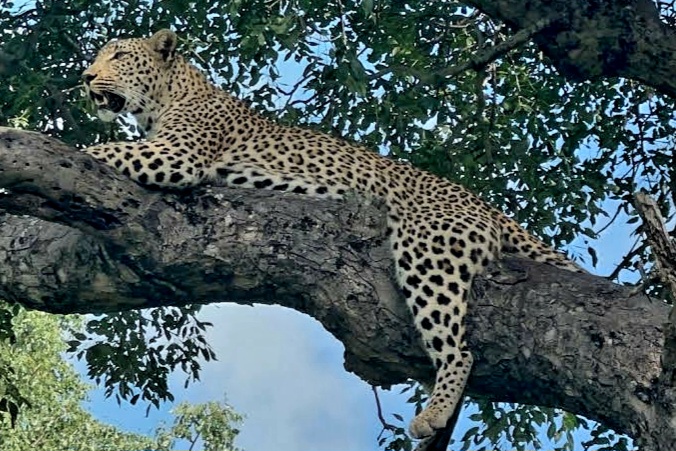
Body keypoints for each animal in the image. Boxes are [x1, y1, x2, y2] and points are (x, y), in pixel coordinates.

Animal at [83, 29, 580, 444]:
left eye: (119, 55)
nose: (86, 77)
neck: (167, 96)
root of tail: (485, 205)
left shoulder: (177, 155)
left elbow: (103, 149)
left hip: (428, 250)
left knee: (459, 350)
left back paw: (433, 413)